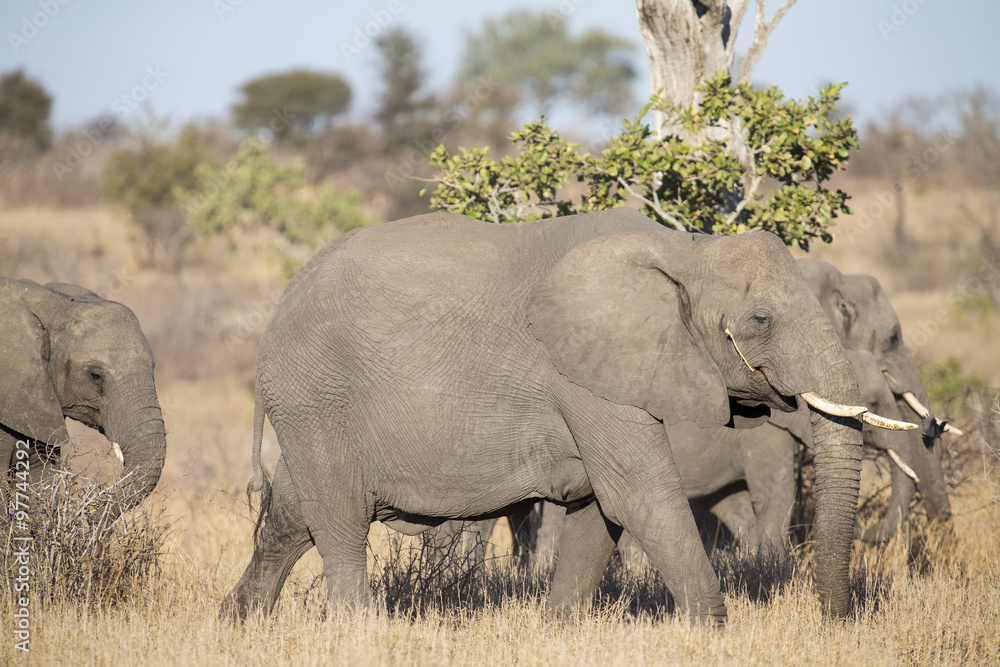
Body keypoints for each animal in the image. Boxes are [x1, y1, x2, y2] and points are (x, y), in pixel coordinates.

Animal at [225, 210, 900, 628]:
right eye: (761, 320)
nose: (836, 620)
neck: (685, 247)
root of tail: (278, 307)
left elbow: (599, 508)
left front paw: (559, 628)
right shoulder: (584, 372)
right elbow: (639, 494)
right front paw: (711, 632)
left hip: (311, 405)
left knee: (292, 515)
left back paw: (240, 622)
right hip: (317, 395)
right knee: (337, 519)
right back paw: (357, 631)